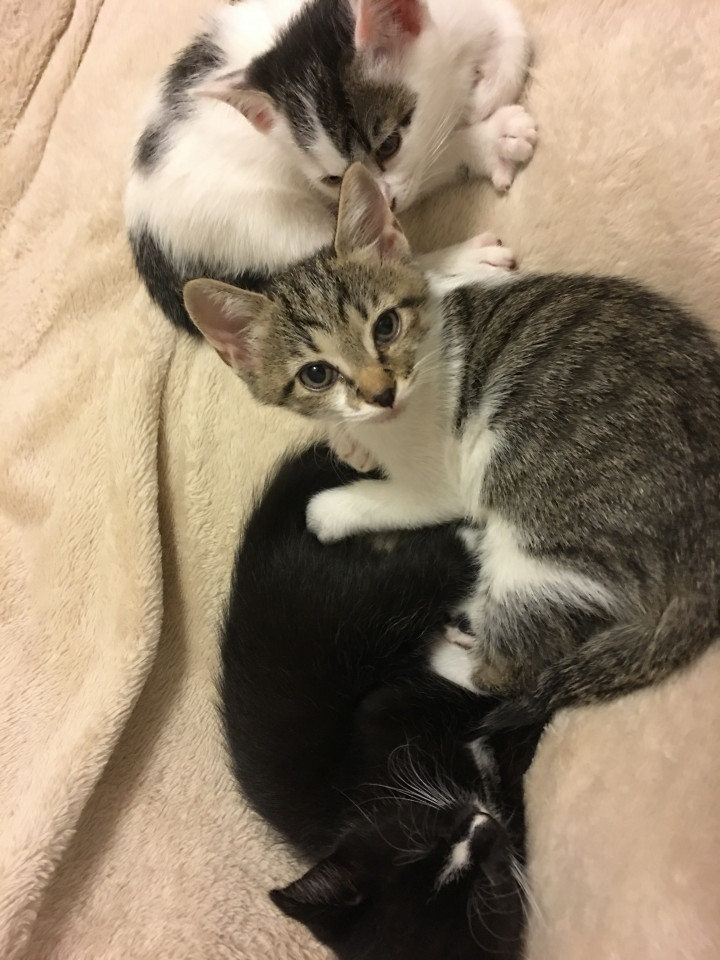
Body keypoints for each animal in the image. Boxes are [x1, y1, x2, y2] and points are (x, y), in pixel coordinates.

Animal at [125, 0, 536, 334]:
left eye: (389, 145)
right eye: (332, 179)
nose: (385, 203)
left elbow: (510, 19)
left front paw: (490, 92)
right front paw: (487, 137)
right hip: (255, 219)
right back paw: (468, 261)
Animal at [186, 162, 720, 729]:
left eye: (385, 326)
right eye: (316, 374)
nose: (381, 392)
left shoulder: (441, 482)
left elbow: (395, 500)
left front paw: (331, 508)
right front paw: (349, 442)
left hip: (546, 537)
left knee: (508, 674)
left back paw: (440, 652)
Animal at [221, 443, 541, 960]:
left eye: (421, 840)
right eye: (486, 889)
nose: (478, 829)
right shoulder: (384, 714)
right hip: (356, 606)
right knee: (415, 568)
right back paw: (470, 542)